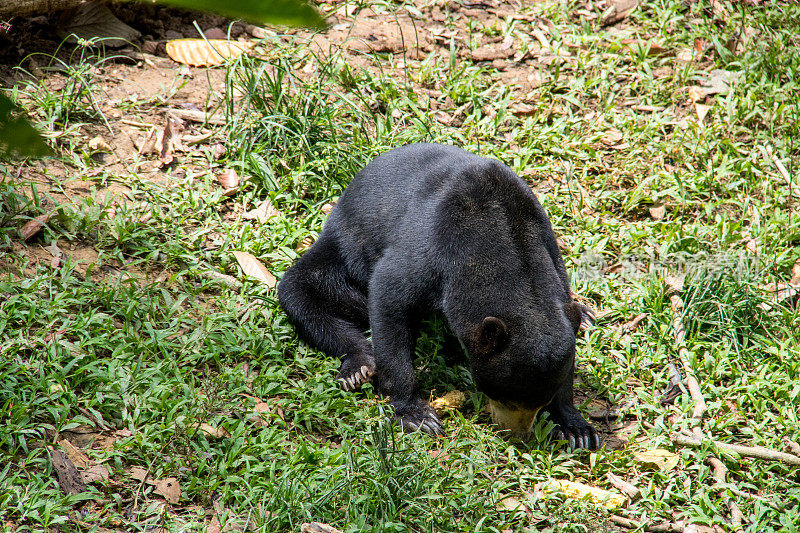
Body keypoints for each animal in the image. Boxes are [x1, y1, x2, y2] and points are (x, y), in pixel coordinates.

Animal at [278, 142, 596, 448]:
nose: (517, 436)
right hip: (345, 248)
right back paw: (359, 367)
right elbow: (389, 296)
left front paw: (576, 428)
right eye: (504, 396)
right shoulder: (431, 248)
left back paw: (587, 315)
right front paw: (416, 416)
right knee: (300, 293)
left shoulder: (547, 244)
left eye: (541, 401)